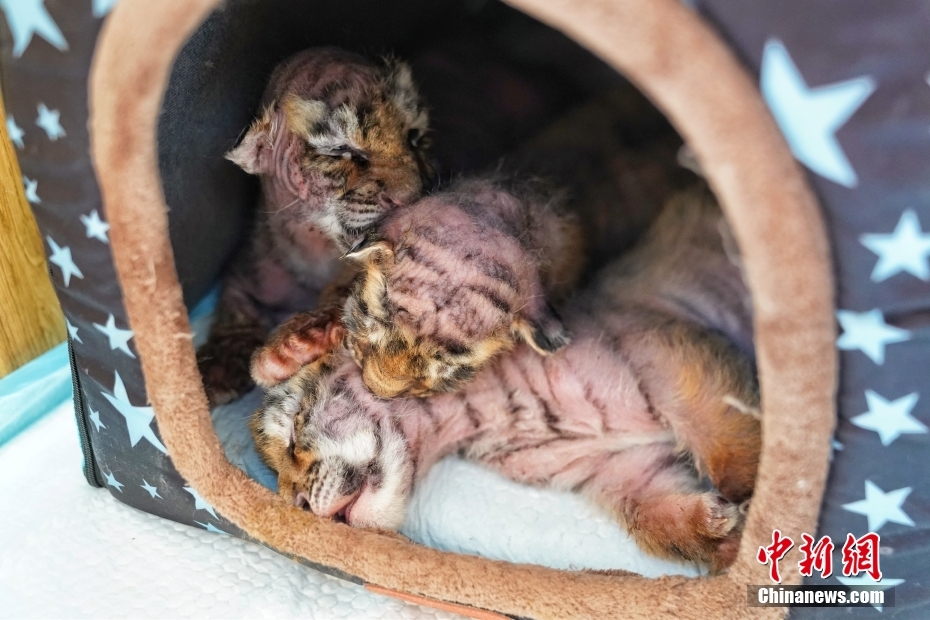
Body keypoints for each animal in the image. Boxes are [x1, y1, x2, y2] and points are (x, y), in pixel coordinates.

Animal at [197, 47, 434, 405]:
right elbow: (234, 310)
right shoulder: (242, 270)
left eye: (415, 137)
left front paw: (296, 343)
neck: (316, 246)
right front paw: (215, 369)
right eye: (341, 151)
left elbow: (354, 288)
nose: (410, 197)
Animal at [250, 184, 760, 572]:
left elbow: (736, 452)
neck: (487, 418)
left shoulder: (678, 367)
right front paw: (723, 537)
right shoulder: (622, 471)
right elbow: (656, 523)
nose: (297, 503)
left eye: (294, 432)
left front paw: (755, 519)